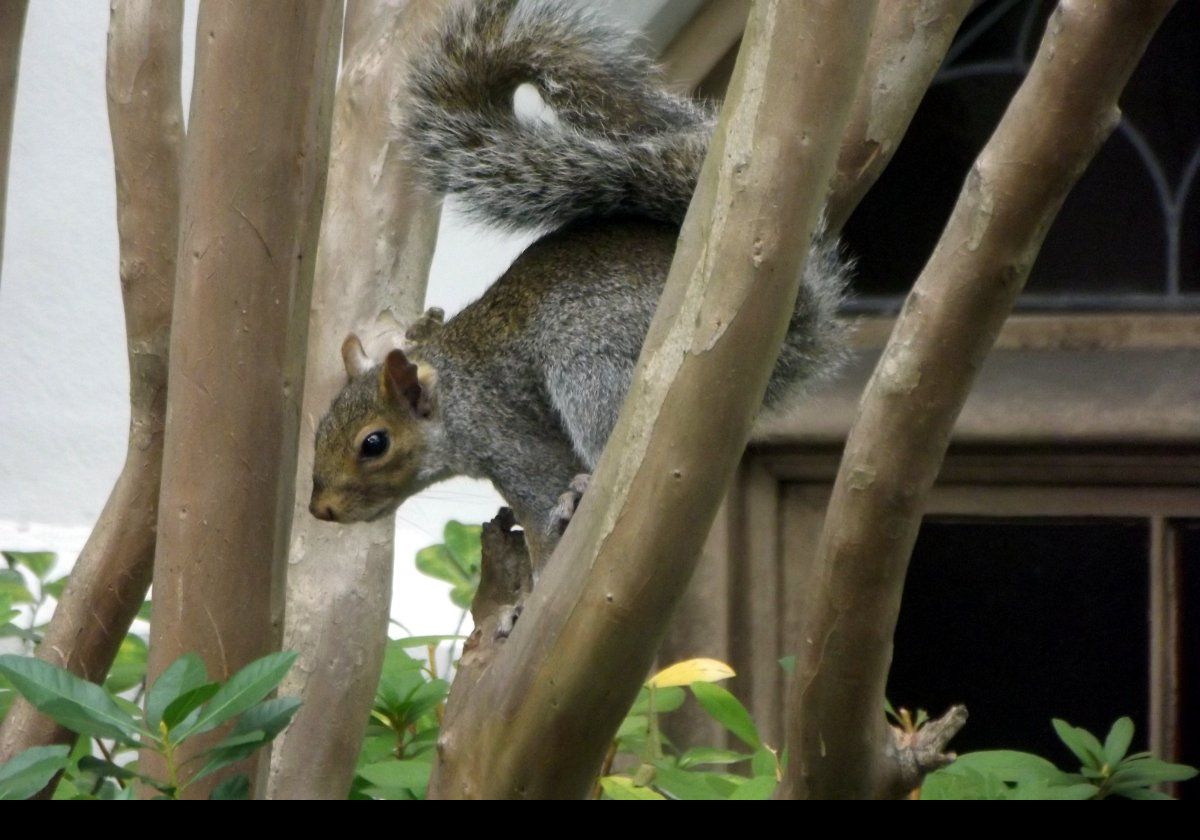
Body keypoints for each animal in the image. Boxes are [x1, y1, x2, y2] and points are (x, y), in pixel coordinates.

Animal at [309, 0, 854, 564]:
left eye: (374, 443)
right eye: (320, 427)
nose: (320, 509)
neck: (453, 390)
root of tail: (787, 336)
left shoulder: (511, 440)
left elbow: (543, 500)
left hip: (590, 365)